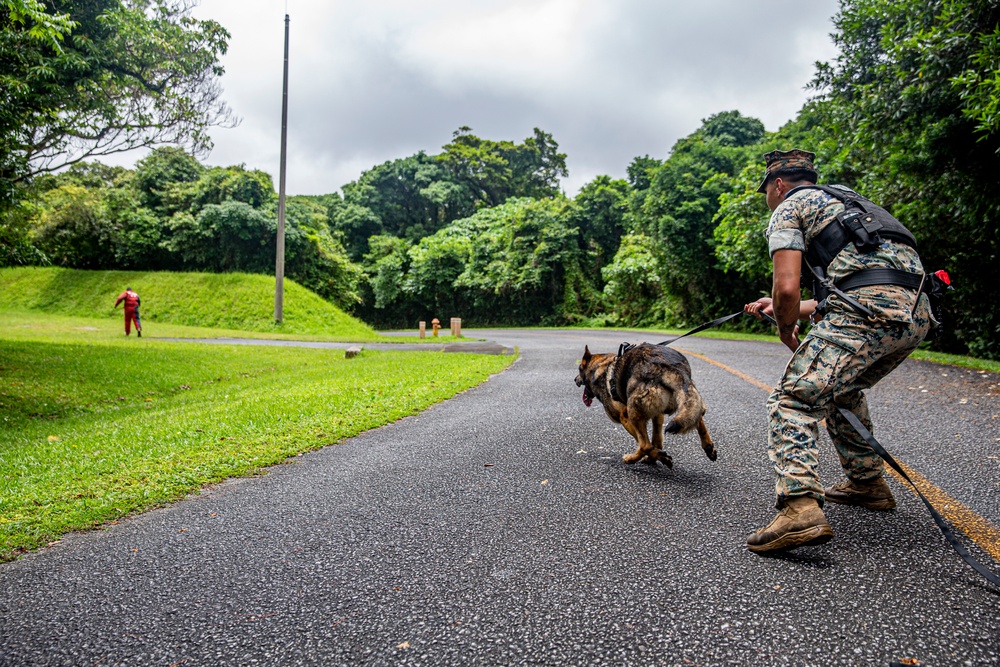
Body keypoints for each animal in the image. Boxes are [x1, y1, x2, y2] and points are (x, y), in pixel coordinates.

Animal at [576, 348, 716, 468]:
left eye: (579, 369)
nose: (575, 380)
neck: (602, 367)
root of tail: (671, 368)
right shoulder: (658, 415)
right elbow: (657, 440)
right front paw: (656, 456)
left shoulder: (624, 417)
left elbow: (644, 442)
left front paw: (655, 457)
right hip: (685, 397)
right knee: (698, 416)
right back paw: (709, 447)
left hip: (633, 412)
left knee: (644, 445)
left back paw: (630, 459)